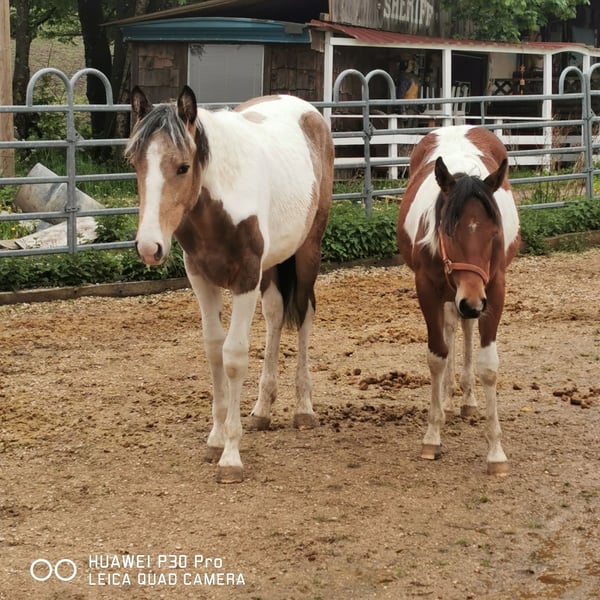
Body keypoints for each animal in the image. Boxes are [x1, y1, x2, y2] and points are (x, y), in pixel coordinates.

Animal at [125, 85, 334, 483]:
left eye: (183, 166)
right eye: (135, 163)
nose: (149, 247)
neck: (221, 202)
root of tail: (307, 111)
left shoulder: (246, 278)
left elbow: (234, 357)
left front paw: (231, 457)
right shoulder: (201, 278)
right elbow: (213, 351)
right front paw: (216, 438)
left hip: (306, 251)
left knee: (304, 314)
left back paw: (303, 408)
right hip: (272, 265)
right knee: (275, 314)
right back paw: (262, 410)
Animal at [397, 125, 520, 475]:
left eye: (494, 233)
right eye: (449, 231)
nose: (472, 301)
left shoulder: (493, 290)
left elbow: (488, 365)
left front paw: (496, 453)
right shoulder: (427, 289)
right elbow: (437, 355)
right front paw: (432, 436)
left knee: (464, 328)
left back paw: (466, 401)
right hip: (451, 296)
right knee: (453, 326)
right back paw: (450, 401)